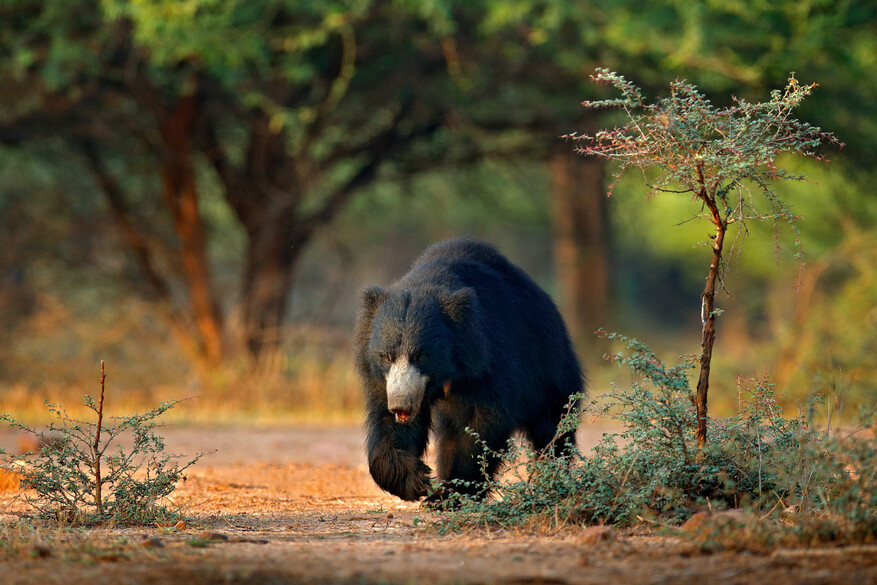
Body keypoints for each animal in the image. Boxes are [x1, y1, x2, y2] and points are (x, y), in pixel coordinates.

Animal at [354, 238, 585, 501]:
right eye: (387, 356)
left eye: (421, 356)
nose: (401, 404)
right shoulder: (385, 380)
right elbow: (387, 423)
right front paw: (417, 480)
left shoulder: (487, 361)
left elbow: (481, 424)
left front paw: (450, 494)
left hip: (547, 365)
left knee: (552, 424)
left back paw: (552, 480)